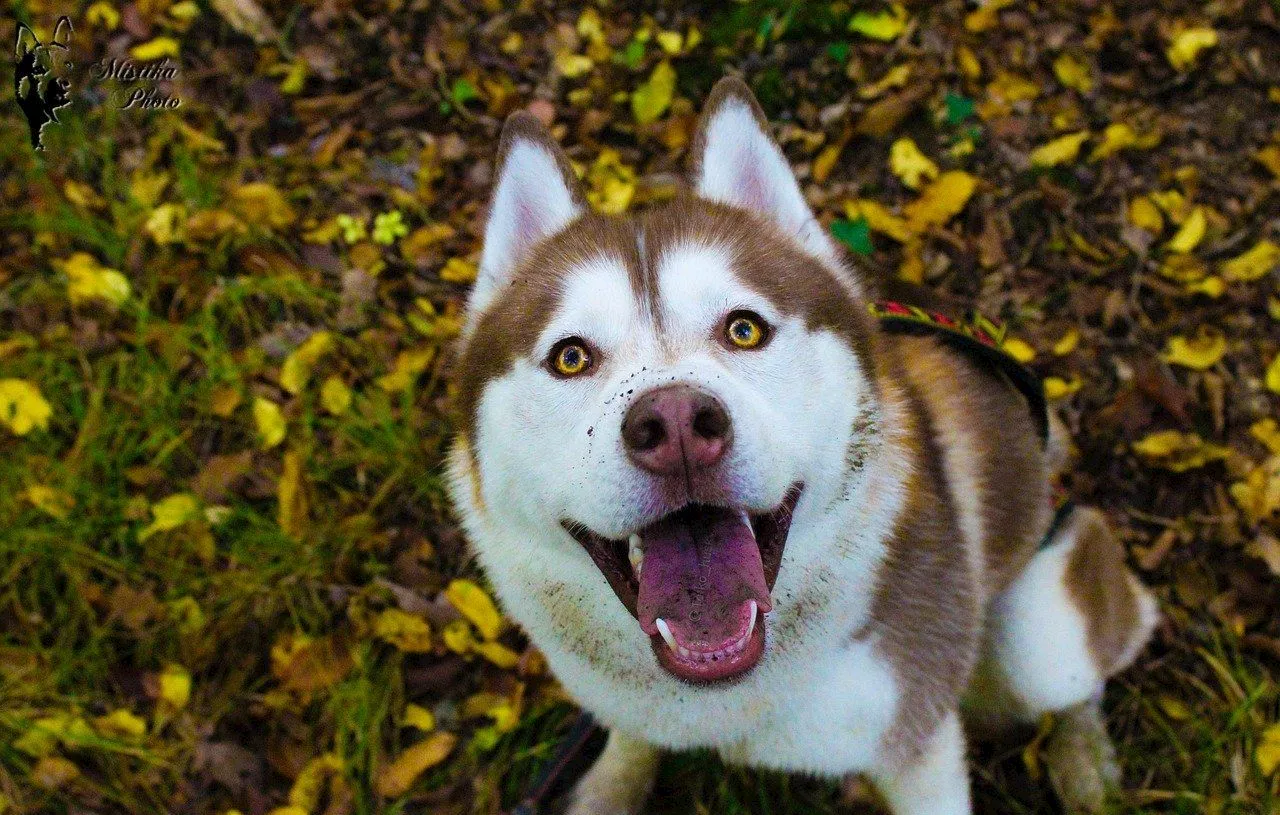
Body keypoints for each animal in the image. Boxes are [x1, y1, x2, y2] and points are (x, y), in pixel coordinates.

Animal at [450, 77, 1162, 813]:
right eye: (570, 357)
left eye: (744, 329)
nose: (676, 425)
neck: (730, 696)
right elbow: (630, 741)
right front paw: (609, 788)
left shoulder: (921, 740)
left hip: (1041, 630)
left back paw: (1085, 757)